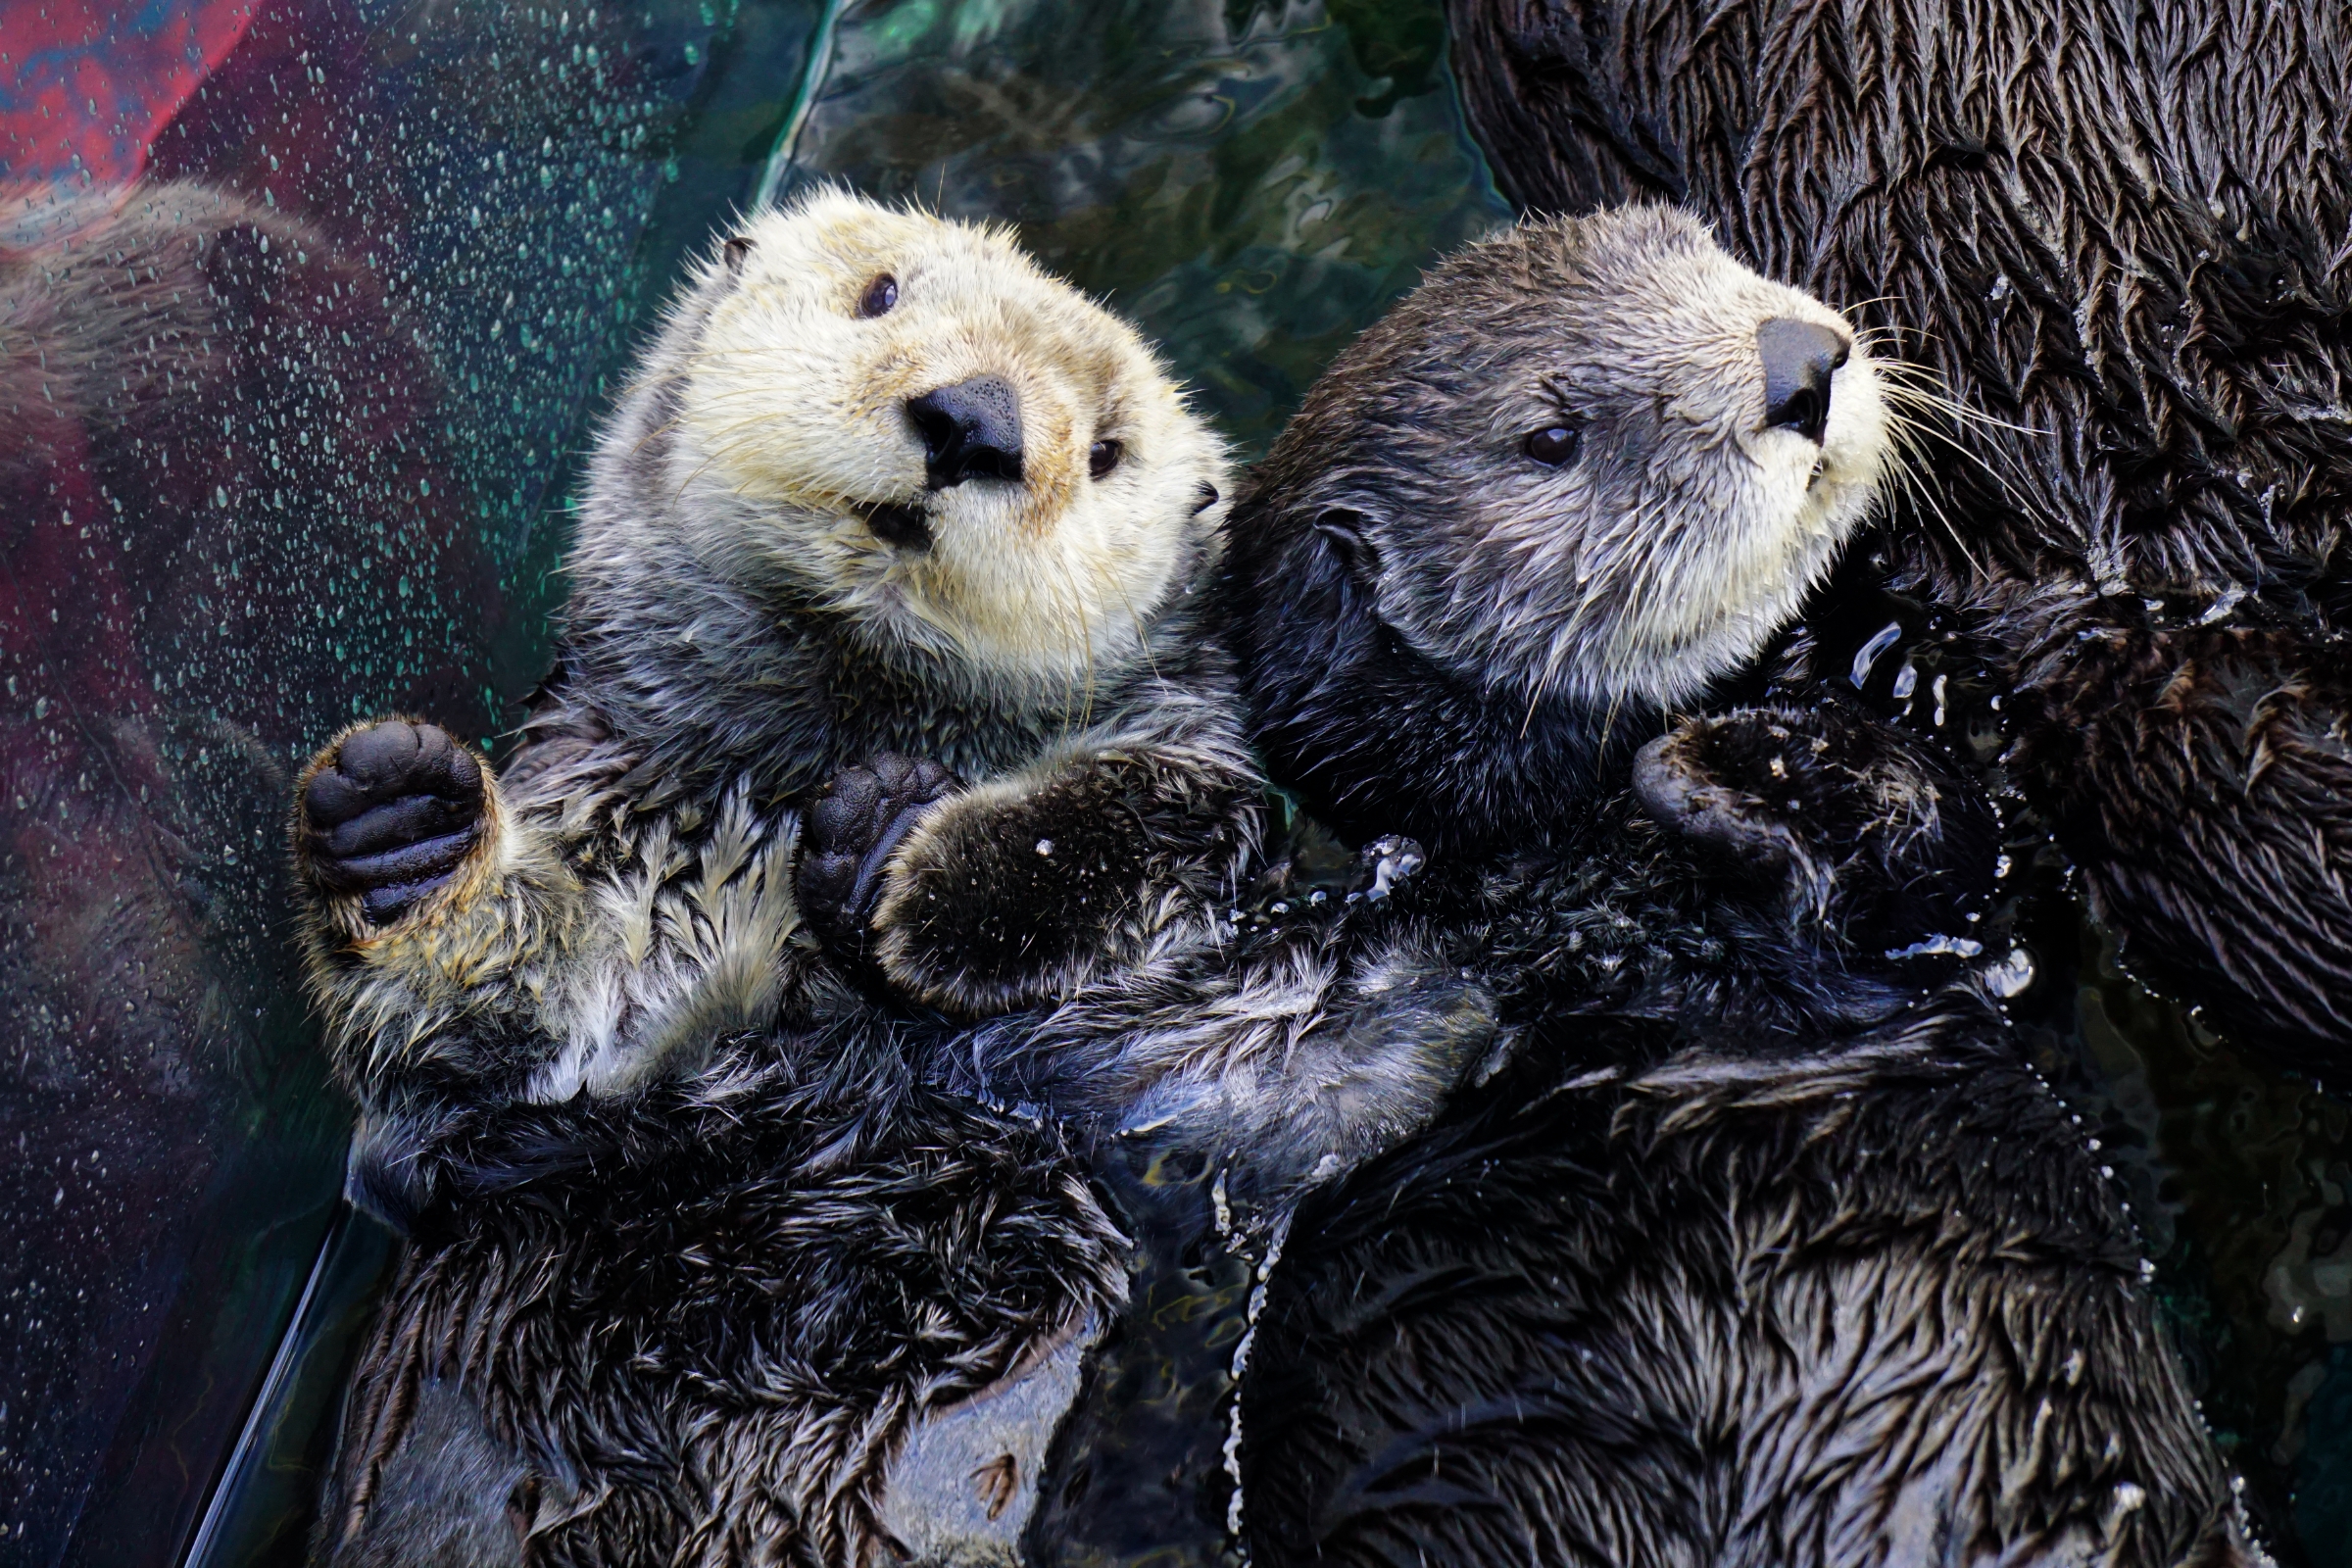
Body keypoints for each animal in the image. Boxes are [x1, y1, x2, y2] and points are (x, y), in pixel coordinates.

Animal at [1020, 208, 2248, 1568]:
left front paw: (1744, 752)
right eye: (1552, 437)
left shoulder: (1991, 888)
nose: (1798, 365)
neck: (1606, 884)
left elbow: (1953, 854)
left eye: (1701, 249)